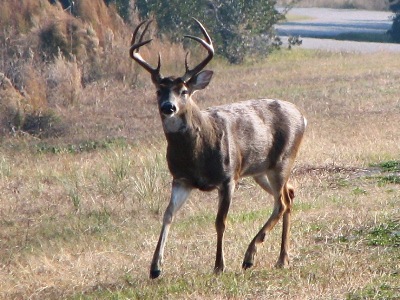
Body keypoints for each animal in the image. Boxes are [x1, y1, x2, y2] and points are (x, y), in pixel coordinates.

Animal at [130, 18, 308, 278]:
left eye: (184, 91)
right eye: (158, 90)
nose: (168, 107)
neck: (197, 153)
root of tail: (302, 116)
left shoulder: (228, 177)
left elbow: (220, 221)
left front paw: (219, 265)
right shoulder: (181, 179)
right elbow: (168, 214)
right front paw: (155, 267)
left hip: (283, 160)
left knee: (282, 202)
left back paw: (250, 256)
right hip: (261, 170)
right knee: (289, 194)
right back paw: (281, 258)